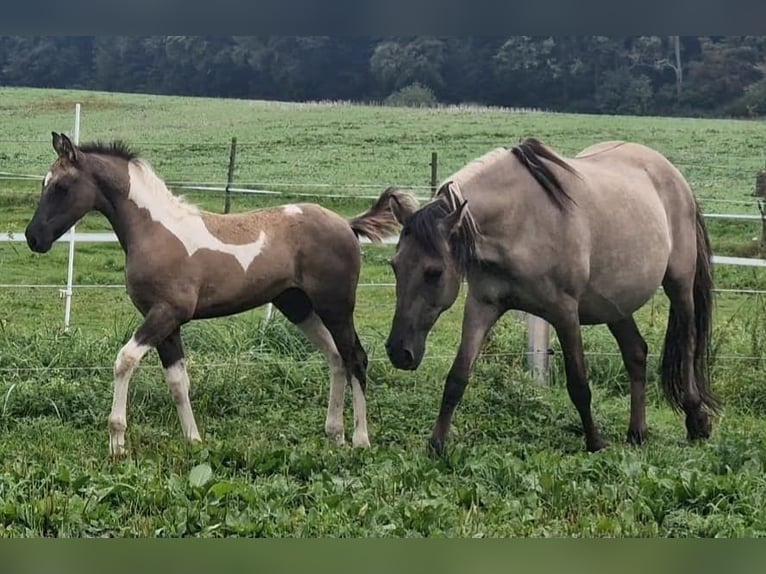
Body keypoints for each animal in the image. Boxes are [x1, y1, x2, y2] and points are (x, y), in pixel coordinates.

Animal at [25, 133, 420, 456]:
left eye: (61, 186)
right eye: (45, 183)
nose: (33, 238)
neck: (154, 231)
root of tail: (346, 225)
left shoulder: (166, 313)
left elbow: (125, 360)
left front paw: (117, 441)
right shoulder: (167, 323)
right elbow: (178, 381)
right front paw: (194, 440)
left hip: (335, 306)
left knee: (356, 358)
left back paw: (361, 439)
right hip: (298, 306)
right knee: (336, 357)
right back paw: (335, 434)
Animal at [390, 138, 720, 454]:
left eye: (434, 273)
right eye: (394, 265)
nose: (398, 352)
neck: (520, 219)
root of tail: (674, 176)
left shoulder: (564, 312)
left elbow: (578, 383)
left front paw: (595, 443)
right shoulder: (482, 306)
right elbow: (457, 377)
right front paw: (436, 445)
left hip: (679, 284)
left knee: (688, 344)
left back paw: (696, 420)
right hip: (614, 304)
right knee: (636, 353)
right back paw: (637, 432)